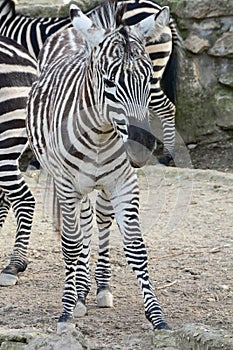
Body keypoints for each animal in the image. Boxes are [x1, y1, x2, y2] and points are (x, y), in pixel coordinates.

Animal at [26, 1, 171, 332]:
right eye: (109, 82)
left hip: (103, 184)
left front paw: (157, 317)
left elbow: (136, 248)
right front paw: (67, 311)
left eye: (148, 79)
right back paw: (79, 292)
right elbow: (71, 244)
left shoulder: (124, 183)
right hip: (69, 183)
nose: (142, 146)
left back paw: (101, 286)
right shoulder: (67, 185)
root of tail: (79, 32)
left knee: (101, 219)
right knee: (82, 227)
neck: (101, 134)